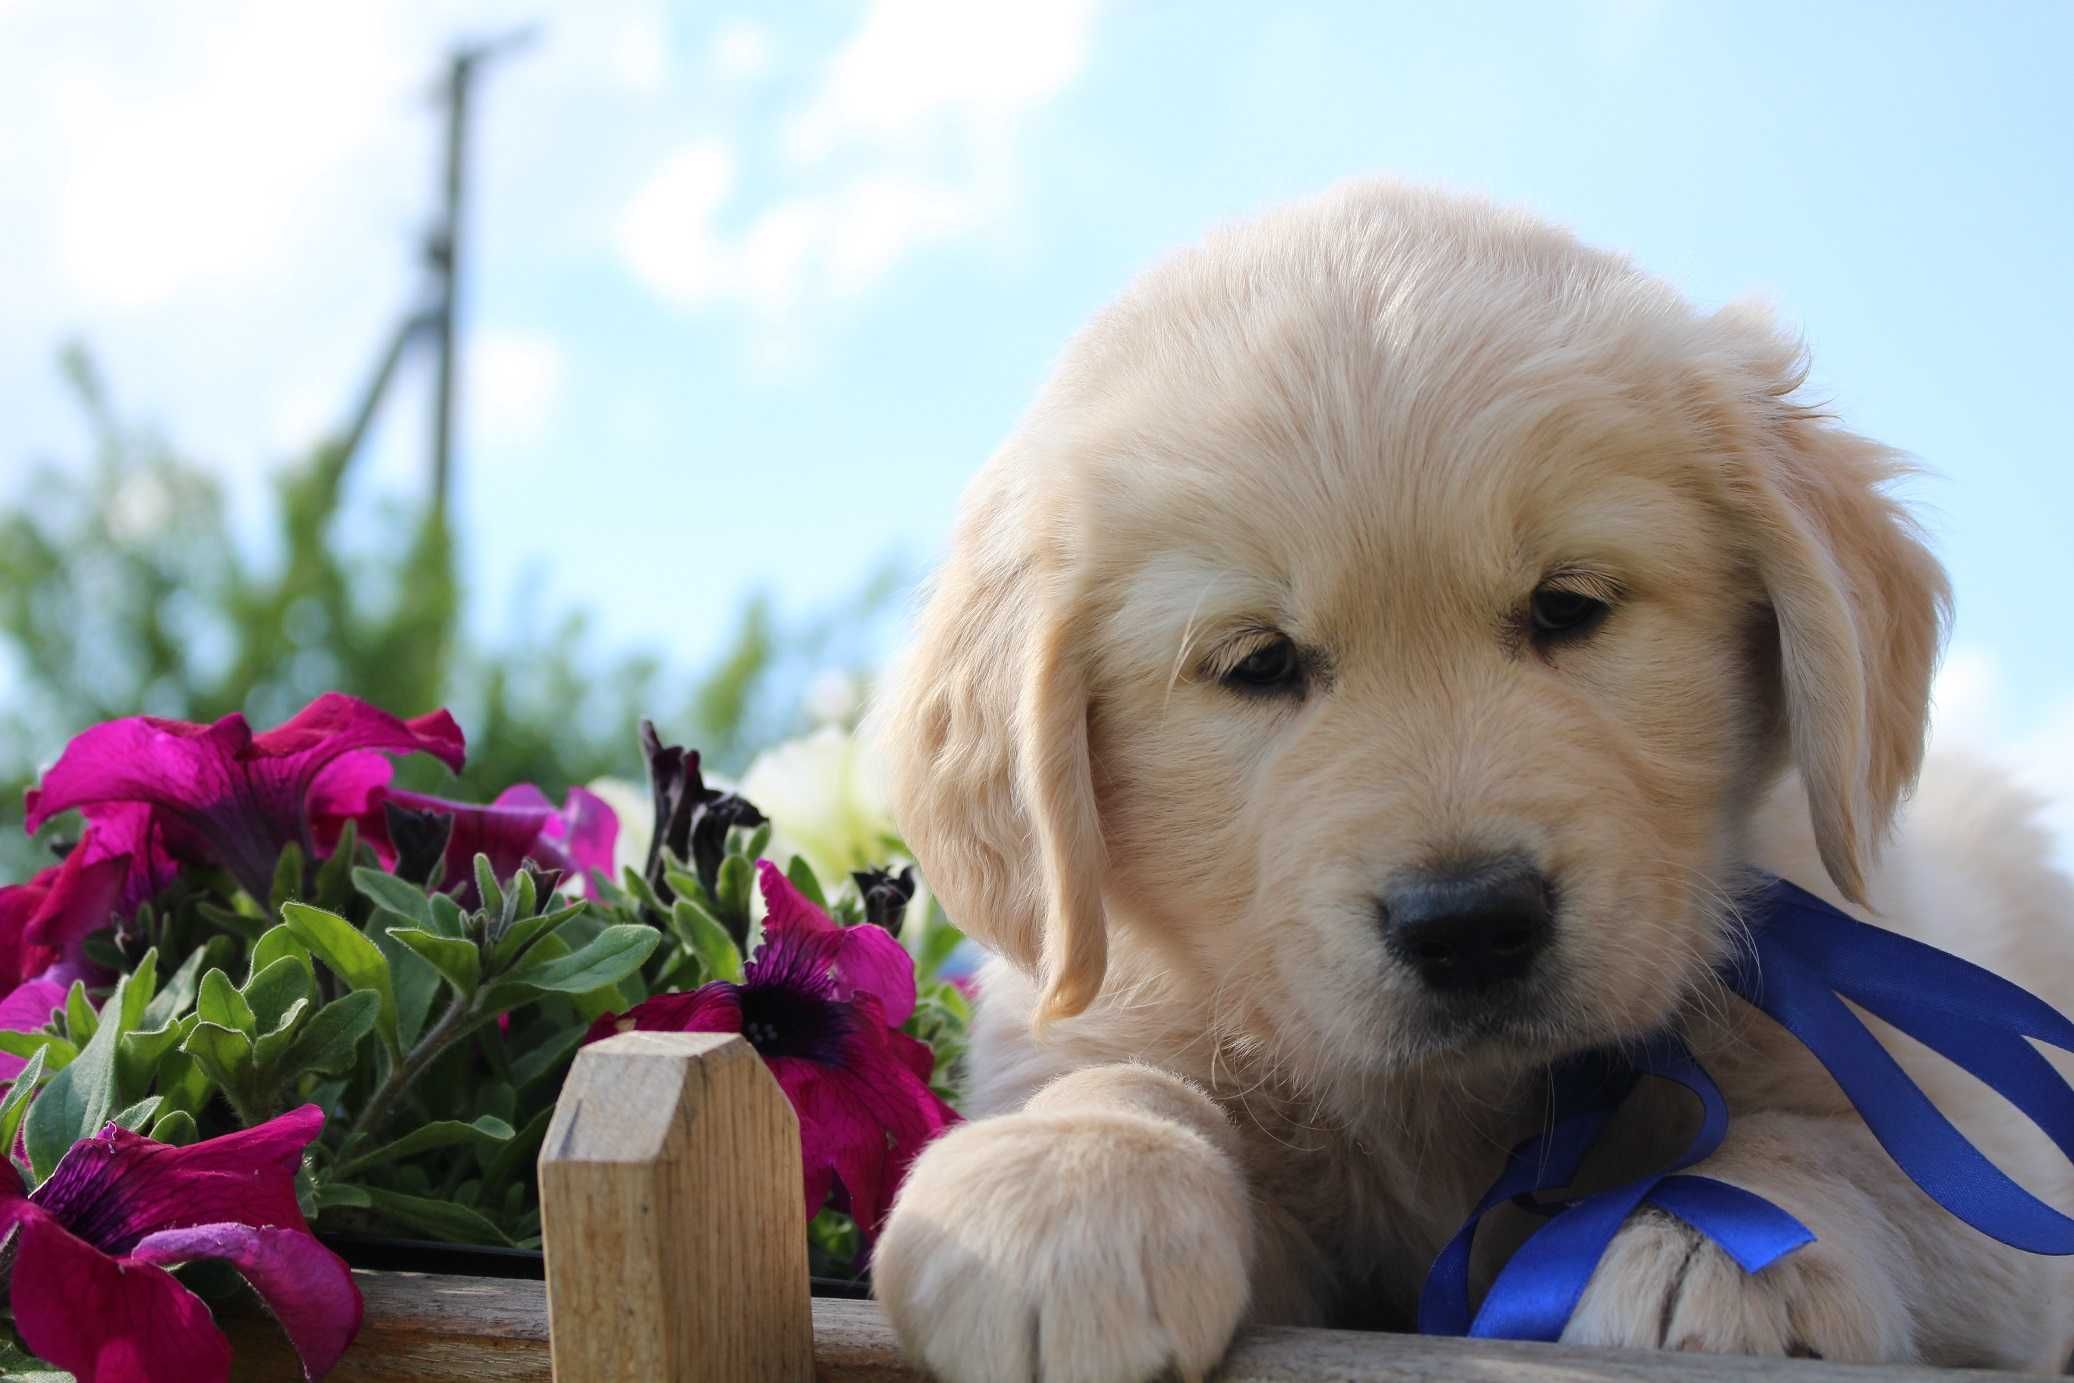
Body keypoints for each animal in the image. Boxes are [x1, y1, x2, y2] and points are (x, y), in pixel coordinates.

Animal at [858, 178, 2074, 1376]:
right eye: (1256, 664)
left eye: (1569, 606)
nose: (1470, 924)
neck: (1456, 1109)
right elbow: (1119, 1076)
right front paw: (1065, 1186)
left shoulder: (1986, 1148)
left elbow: (1828, 1152)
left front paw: (1719, 1252)